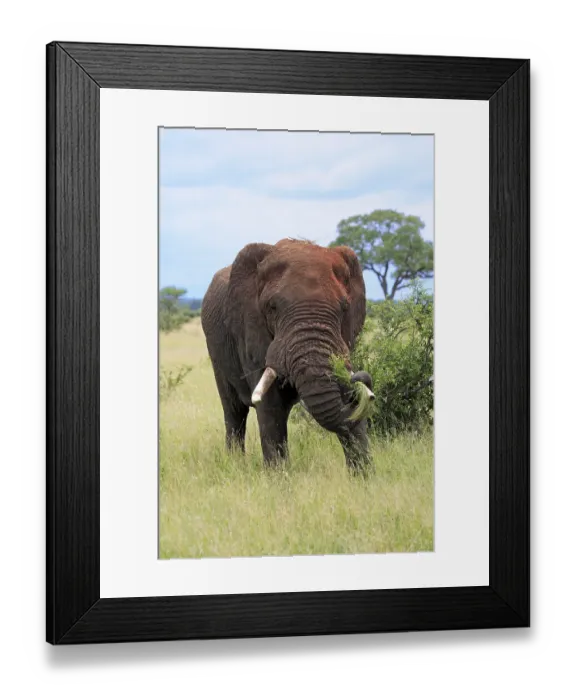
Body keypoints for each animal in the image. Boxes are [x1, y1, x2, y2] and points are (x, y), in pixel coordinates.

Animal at [200, 238, 374, 472]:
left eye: (344, 307)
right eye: (272, 307)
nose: (360, 379)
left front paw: (364, 476)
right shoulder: (250, 331)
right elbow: (270, 406)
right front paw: (279, 477)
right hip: (217, 350)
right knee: (234, 411)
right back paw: (234, 463)